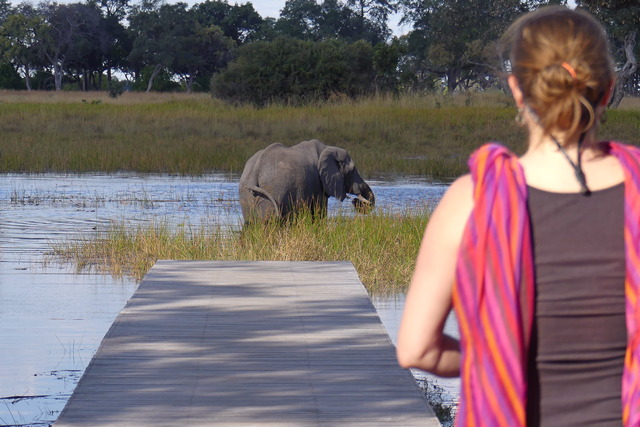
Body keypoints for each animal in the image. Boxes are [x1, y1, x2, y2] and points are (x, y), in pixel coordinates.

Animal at [238, 139, 375, 223]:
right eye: (353, 170)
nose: (355, 201)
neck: (327, 148)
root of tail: (256, 170)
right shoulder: (318, 183)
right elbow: (319, 212)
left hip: (246, 195)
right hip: (274, 191)